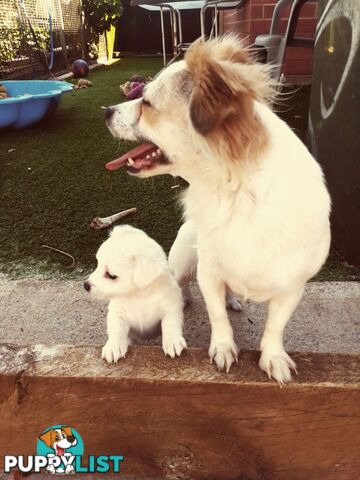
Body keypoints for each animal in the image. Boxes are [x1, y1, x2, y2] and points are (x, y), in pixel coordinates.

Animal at [84, 227, 186, 362]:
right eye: (97, 264)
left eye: (111, 275)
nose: (86, 285)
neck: (138, 296)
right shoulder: (117, 313)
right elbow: (116, 329)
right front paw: (113, 346)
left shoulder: (170, 307)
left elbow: (170, 323)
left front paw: (172, 341)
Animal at [102, 35, 330, 384]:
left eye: (147, 103)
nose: (106, 111)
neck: (236, 196)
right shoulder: (208, 272)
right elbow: (217, 315)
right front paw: (223, 348)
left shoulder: (292, 289)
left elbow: (274, 327)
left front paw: (273, 357)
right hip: (183, 259)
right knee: (183, 283)